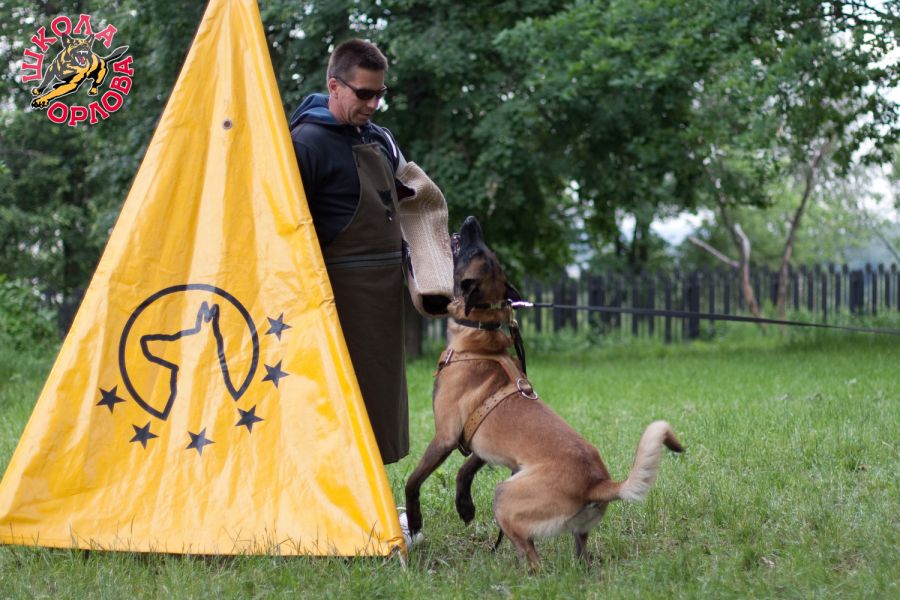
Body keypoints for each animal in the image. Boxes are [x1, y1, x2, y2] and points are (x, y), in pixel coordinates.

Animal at [404, 215, 683, 569]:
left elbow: (414, 480)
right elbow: (465, 471)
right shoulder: (479, 443)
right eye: (487, 251)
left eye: (474, 250)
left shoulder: (445, 437)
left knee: (535, 564)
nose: (471, 220)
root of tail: (598, 483)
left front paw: (414, 522)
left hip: (505, 496)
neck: (480, 338)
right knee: (578, 559)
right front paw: (464, 506)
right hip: (567, 526)